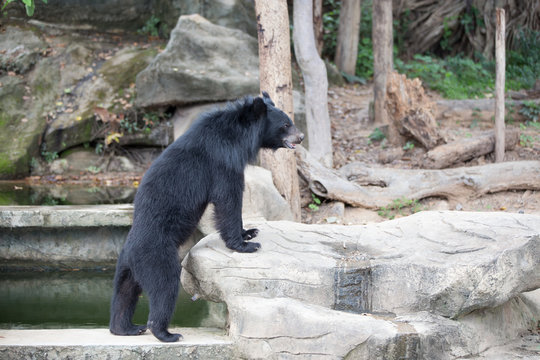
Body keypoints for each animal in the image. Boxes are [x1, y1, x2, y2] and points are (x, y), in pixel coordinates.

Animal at [109, 91, 304, 342]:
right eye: (286, 124)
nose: (300, 137)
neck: (238, 134)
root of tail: (131, 251)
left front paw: (250, 232)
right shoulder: (223, 160)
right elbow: (228, 199)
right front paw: (246, 245)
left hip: (126, 268)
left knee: (124, 294)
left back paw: (126, 328)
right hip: (156, 256)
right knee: (164, 286)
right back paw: (166, 333)